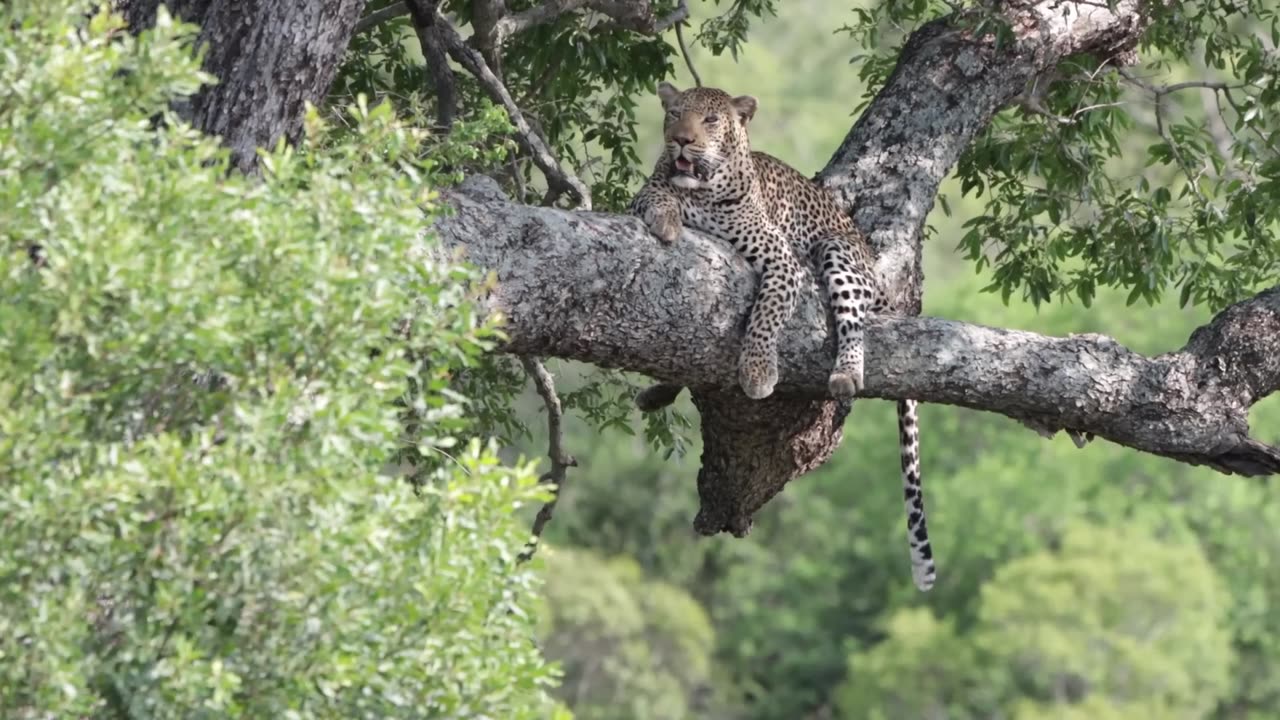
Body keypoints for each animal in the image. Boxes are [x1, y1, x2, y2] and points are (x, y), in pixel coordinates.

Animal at [627, 82, 936, 589]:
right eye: (674, 115)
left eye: (710, 121)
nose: (682, 141)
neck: (704, 192)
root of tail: (873, 266)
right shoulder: (645, 195)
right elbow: (657, 194)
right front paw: (667, 217)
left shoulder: (781, 261)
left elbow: (766, 315)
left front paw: (757, 372)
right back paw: (657, 391)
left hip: (837, 253)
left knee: (854, 322)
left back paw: (847, 373)